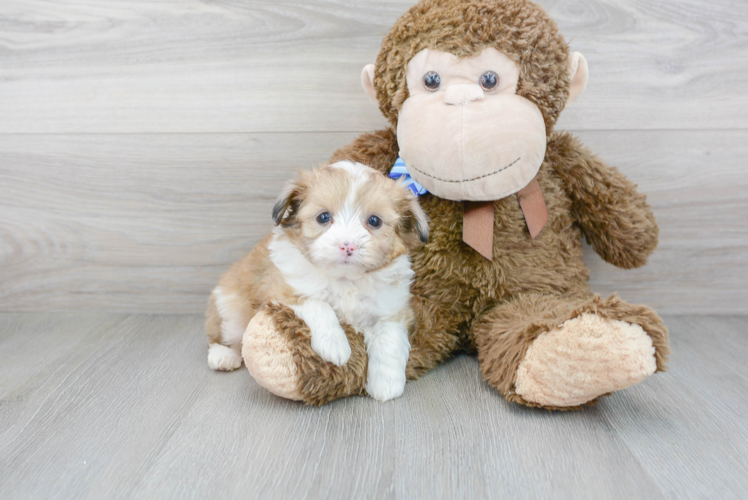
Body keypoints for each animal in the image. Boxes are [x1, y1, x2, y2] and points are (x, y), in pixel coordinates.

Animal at [205, 160, 430, 402]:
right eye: (323, 217)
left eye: (374, 221)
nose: (348, 245)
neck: (345, 279)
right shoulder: (281, 288)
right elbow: (318, 304)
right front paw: (335, 344)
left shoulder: (392, 308)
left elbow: (390, 340)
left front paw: (387, 384)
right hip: (228, 309)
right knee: (219, 335)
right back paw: (223, 355)